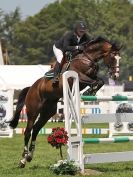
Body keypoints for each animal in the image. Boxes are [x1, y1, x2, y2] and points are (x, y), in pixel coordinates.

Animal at [9, 37, 121, 167]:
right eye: (113, 57)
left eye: (119, 58)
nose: (115, 76)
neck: (88, 58)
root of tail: (31, 88)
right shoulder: (78, 77)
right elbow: (94, 82)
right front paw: (90, 91)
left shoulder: (91, 77)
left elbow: (100, 81)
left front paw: (91, 91)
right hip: (33, 111)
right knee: (28, 131)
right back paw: (22, 160)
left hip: (47, 112)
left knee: (36, 129)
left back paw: (29, 156)